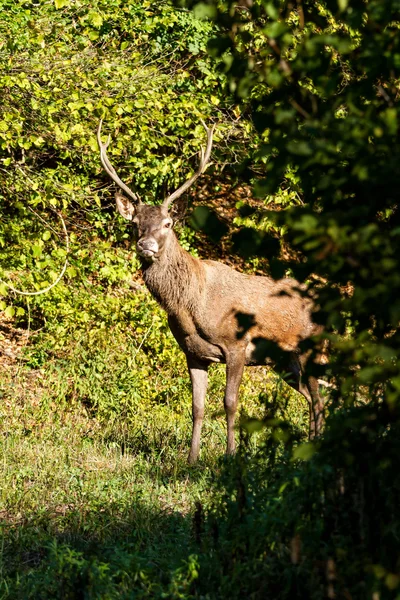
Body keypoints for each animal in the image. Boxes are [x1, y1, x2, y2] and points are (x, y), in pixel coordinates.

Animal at [97, 118, 324, 464]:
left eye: (168, 223)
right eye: (135, 223)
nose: (146, 245)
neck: (193, 304)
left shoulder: (236, 345)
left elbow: (230, 403)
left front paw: (230, 455)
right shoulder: (193, 352)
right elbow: (197, 407)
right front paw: (192, 459)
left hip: (312, 347)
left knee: (320, 398)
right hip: (285, 361)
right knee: (312, 398)